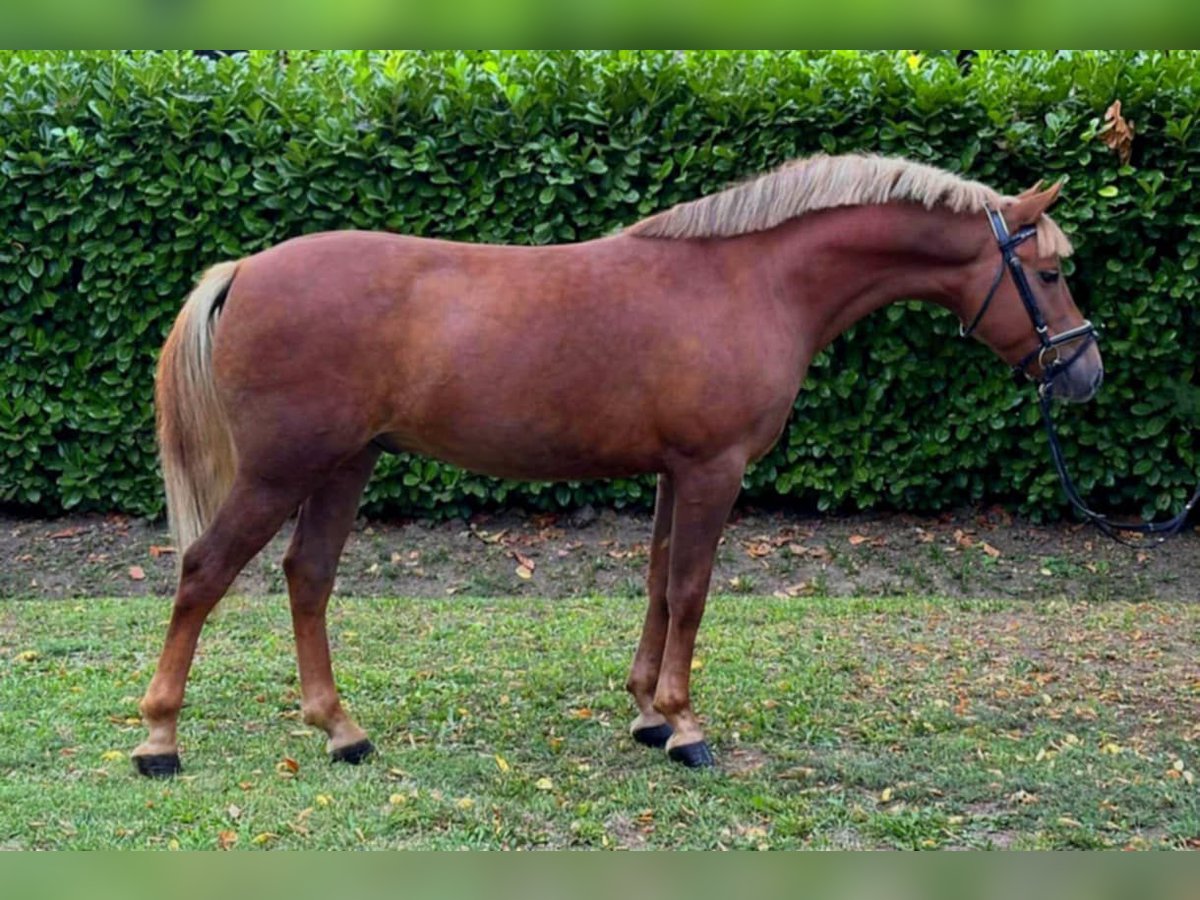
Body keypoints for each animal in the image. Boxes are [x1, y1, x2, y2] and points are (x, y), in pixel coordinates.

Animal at [131, 153, 1103, 776]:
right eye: (1053, 274)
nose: (1085, 372)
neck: (749, 280)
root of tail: (246, 269)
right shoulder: (714, 470)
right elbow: (691, 591)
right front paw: (685, 726)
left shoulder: (678, 469)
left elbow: (659, 581)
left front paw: (644, 712)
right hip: (281, 472)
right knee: (204, 572)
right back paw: (159, 741)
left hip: (344, 465)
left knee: (308, 577)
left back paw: (341, 731)